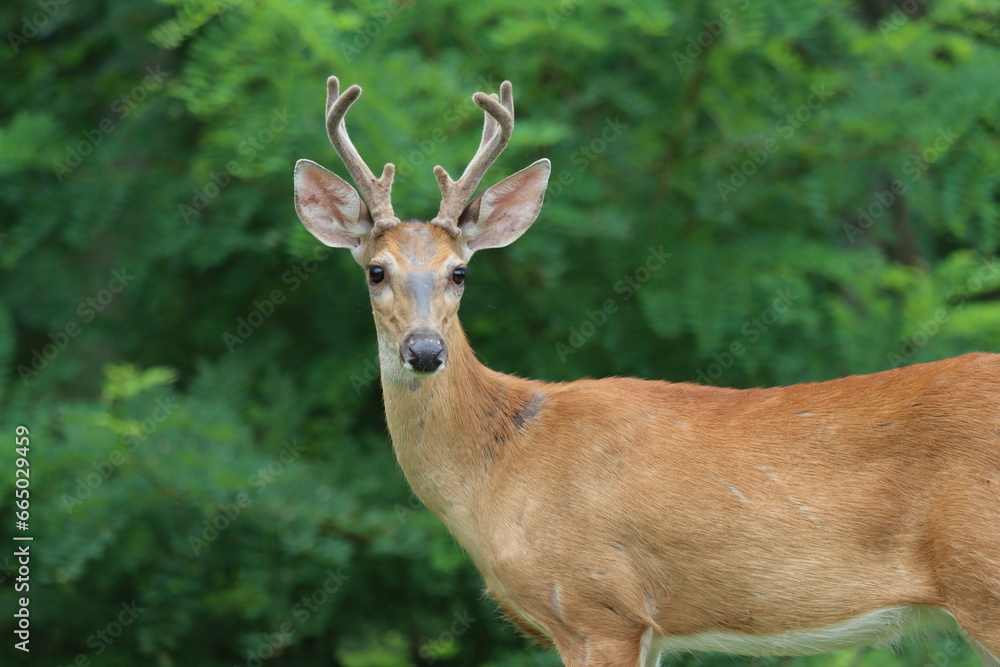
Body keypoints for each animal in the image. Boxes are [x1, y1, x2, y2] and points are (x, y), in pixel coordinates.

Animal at [292, 78, 1000, 667]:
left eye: (459, 271)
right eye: (375, 270)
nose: (424, 350)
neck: (503, 461)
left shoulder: (598, 605)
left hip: (983, 578)